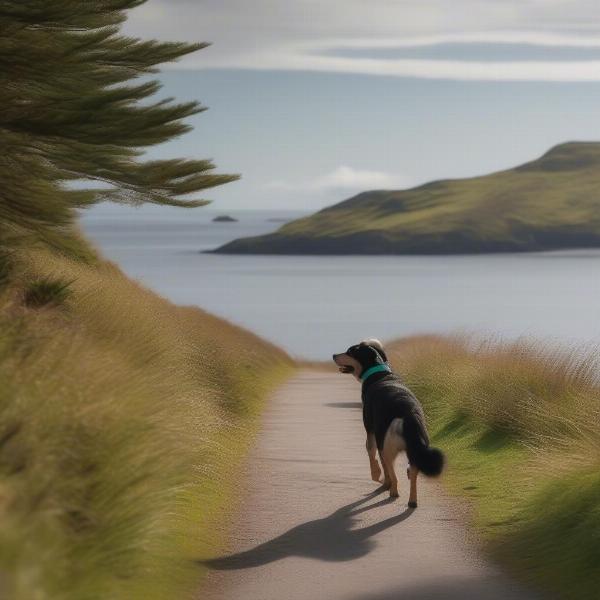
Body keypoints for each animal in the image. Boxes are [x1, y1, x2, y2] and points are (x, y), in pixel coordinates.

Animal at [332, 338, 446, 506]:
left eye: (350, 351)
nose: (333, 355)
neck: (379, 372)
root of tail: (407, 414)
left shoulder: (371, 431)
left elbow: (373, 456)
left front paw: (379, 478)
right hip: (415, 446)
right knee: (412, 472)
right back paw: (412, 500)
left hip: (387, 445)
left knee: (393, 472)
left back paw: (393, 491)